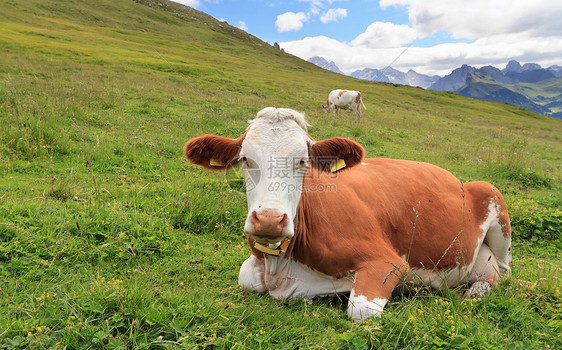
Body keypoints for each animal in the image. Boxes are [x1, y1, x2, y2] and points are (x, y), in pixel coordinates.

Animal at [183, 108, 508, 322]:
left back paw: (476, 290)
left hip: (494, 199)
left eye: (302, 161)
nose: (269, 219)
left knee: (501, 274)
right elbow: (246, 277)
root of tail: (456, 178)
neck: (281, 269)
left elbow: (359, 309)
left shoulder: (387, 261)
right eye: (245, 159)